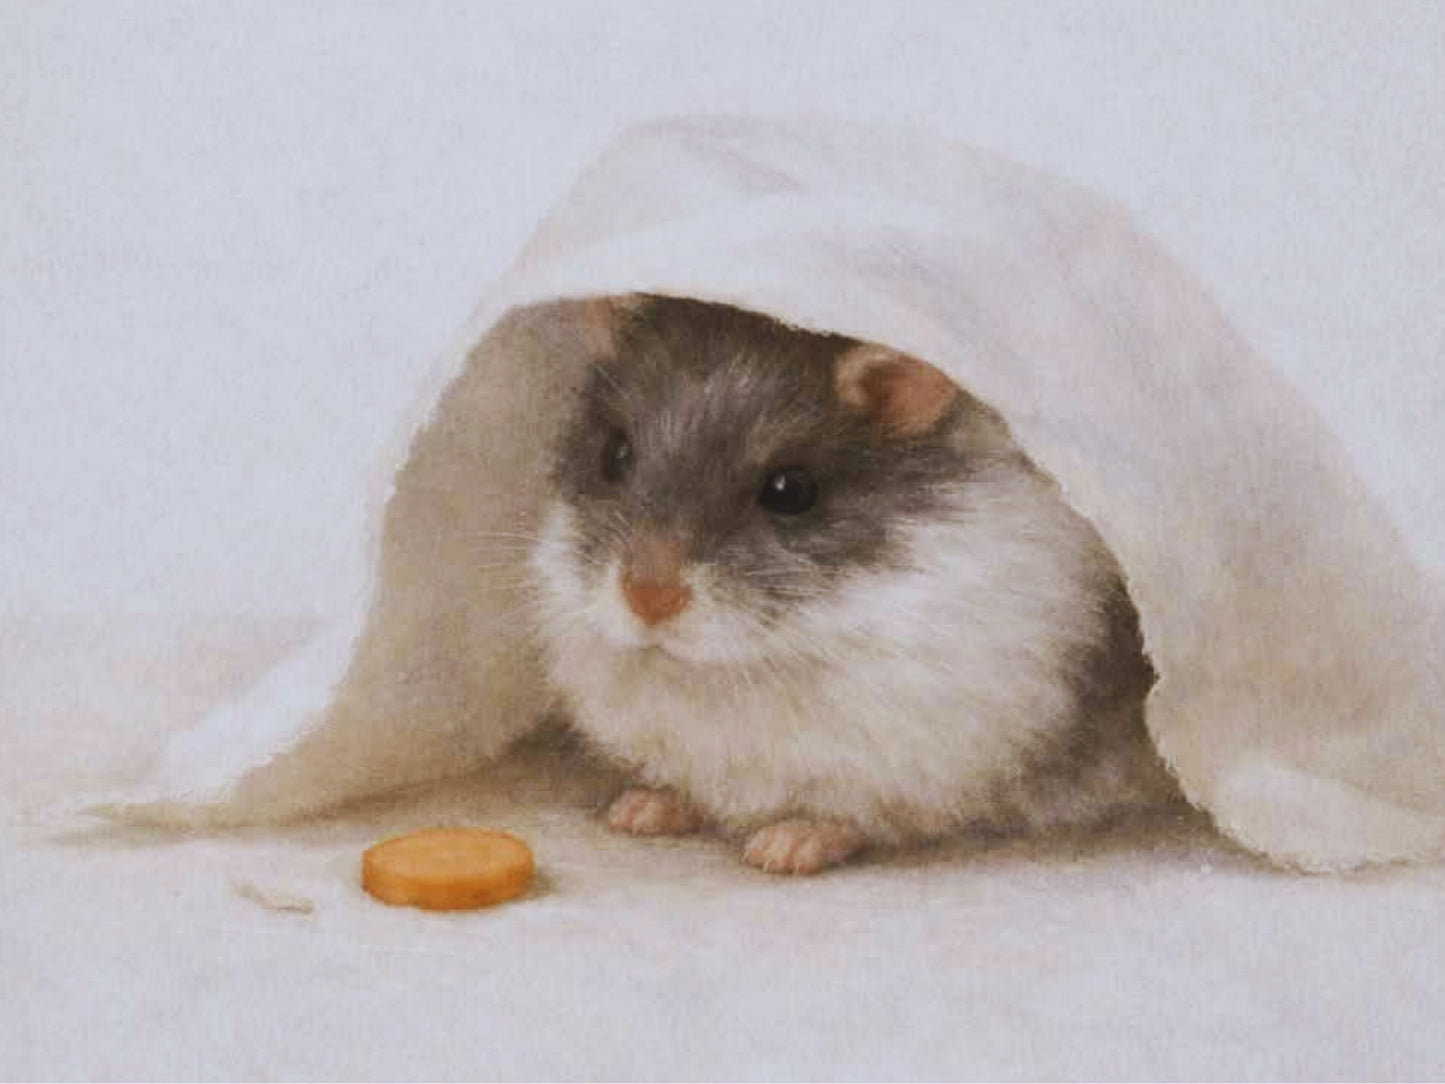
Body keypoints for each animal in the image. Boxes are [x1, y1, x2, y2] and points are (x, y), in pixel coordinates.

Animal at [529, 295, 1179, 874]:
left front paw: (780, 850)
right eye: (615, 455)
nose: (647, 598)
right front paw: (637, 811)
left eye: (790, 491)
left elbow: (847, 814)